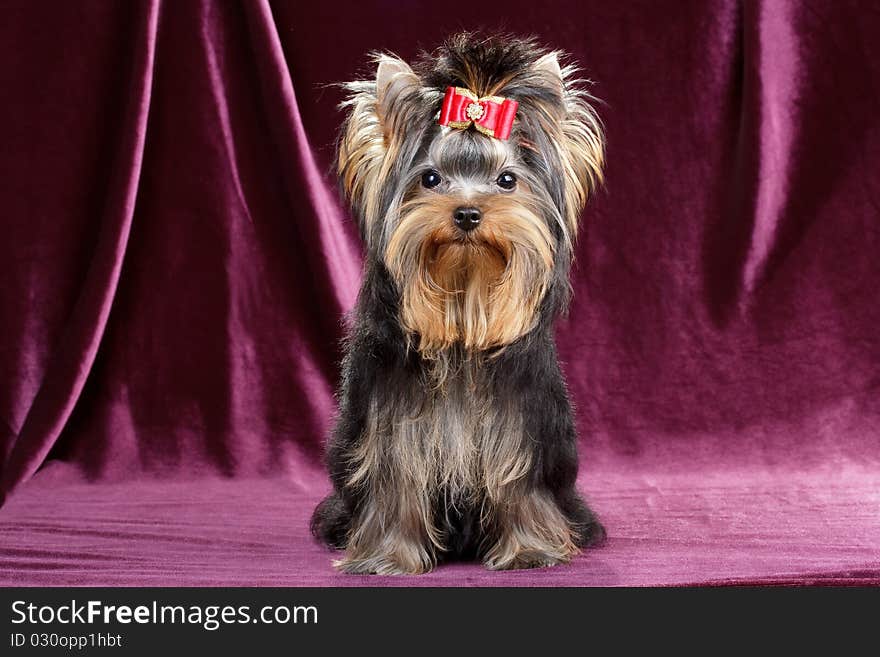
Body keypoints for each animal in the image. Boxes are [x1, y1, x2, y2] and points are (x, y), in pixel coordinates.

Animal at [310, 32, 604, 576]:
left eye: (507, 180)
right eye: (430, 179)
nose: (467, 213)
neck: (463, 319)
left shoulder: (520, 427)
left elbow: (518, 483)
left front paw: (530, 550)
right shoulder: (393, 427)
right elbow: (396, 480)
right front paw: (388, 556)